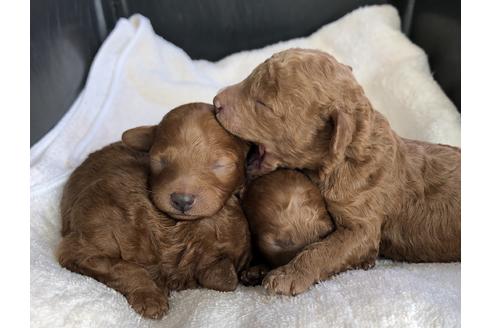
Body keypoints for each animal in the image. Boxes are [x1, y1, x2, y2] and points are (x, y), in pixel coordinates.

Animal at [55, 103, 252, 318]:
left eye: (220, 165)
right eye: (160, 162)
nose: (182, 200)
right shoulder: (82, 247)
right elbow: (124, 267)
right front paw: (151, 299)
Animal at [212, 49, 462, 298]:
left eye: (263, 104)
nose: (215, 102)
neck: (345, 156)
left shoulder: (362, 221)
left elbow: (325, 249)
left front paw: (288, 275)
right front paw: (259, 269)